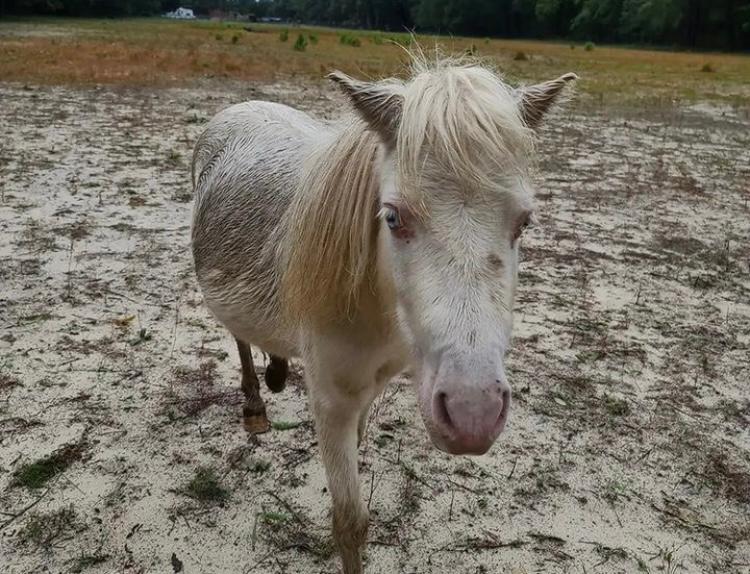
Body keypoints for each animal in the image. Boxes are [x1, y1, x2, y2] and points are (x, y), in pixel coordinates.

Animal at [190, 55, 576, 573]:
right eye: (392, 217)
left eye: (525, 221)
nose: (473, 413)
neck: (377, 309)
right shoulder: (331, 404)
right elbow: (350, 522)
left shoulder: (369, 389)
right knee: (240, 339)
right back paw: (255, 406)